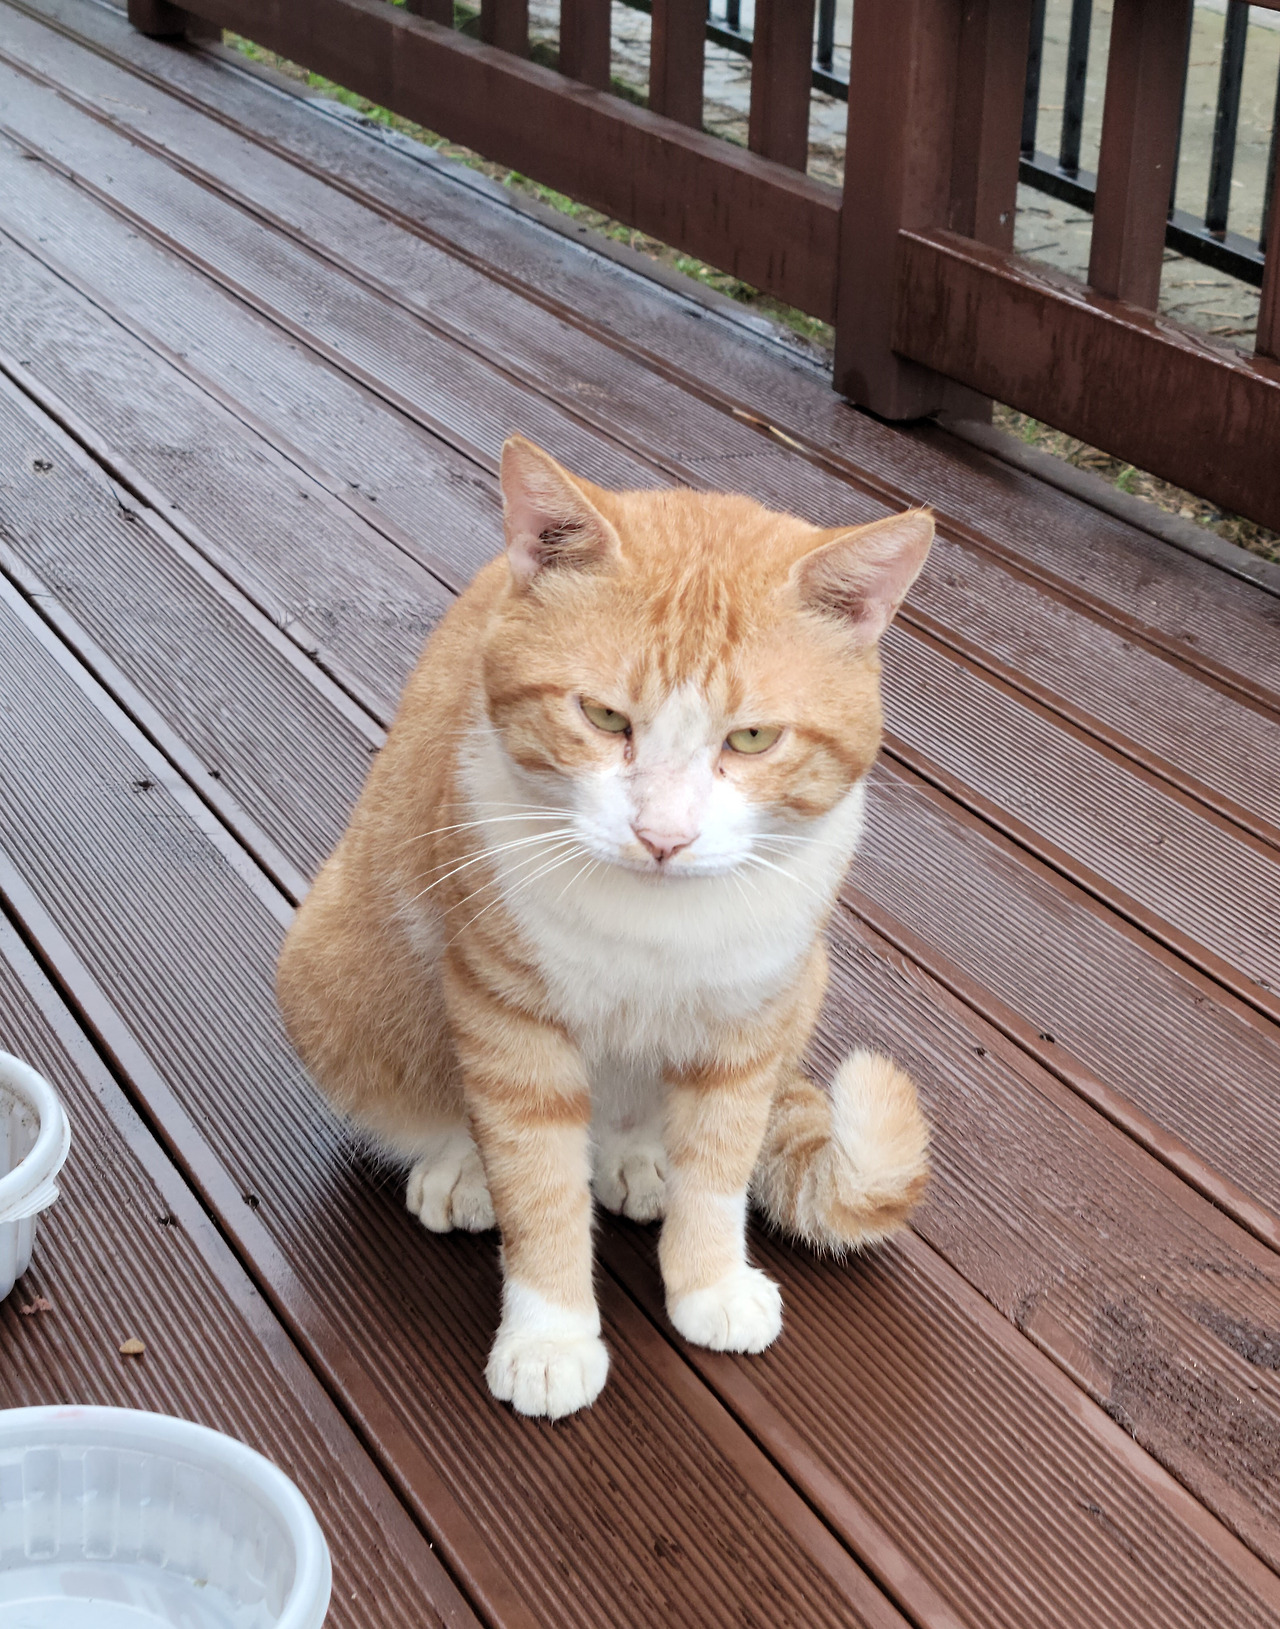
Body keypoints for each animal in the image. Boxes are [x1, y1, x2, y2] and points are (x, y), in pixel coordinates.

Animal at [277, 434, 933, 1419]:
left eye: (750, 739)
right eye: (604, 716)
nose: (664, 835)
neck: (655, 917)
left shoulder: (751, 1018)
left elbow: (719, 1167)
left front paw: (707, 1279)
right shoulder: (509, 1017)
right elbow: (540, 1184)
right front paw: (550, 1334)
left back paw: (637, 1155)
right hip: (333, 969)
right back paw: (461, 1165)